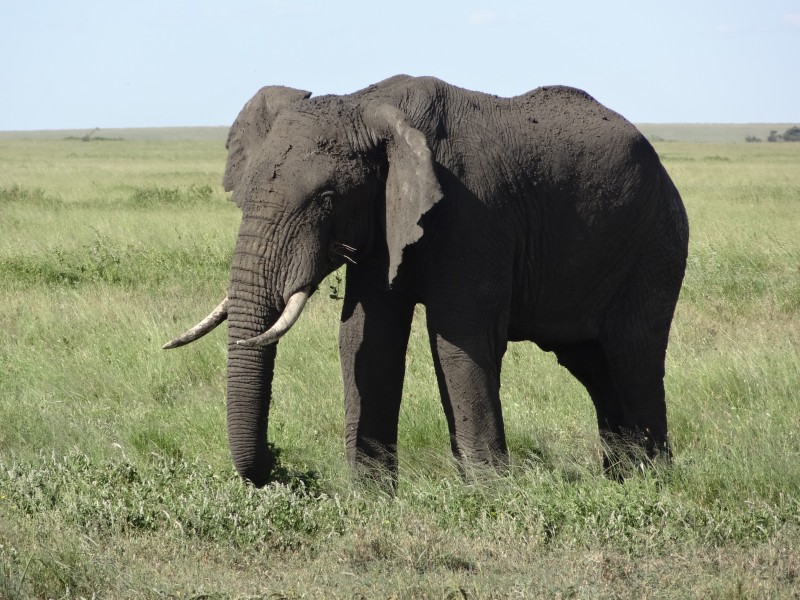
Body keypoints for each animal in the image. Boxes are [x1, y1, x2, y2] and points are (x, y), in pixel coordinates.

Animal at [162, 75, 688, 488]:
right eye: (244, 197)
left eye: (327, 199)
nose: (277, 464)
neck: (367, 107)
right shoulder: (383, 221)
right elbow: (365, 337)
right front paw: (370, 496)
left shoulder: (475, 211)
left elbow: (460, 338)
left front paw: (488, 495)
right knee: (594, 365)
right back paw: (621, 478)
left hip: (655, 243)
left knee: (632, 355)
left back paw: (651, 482)